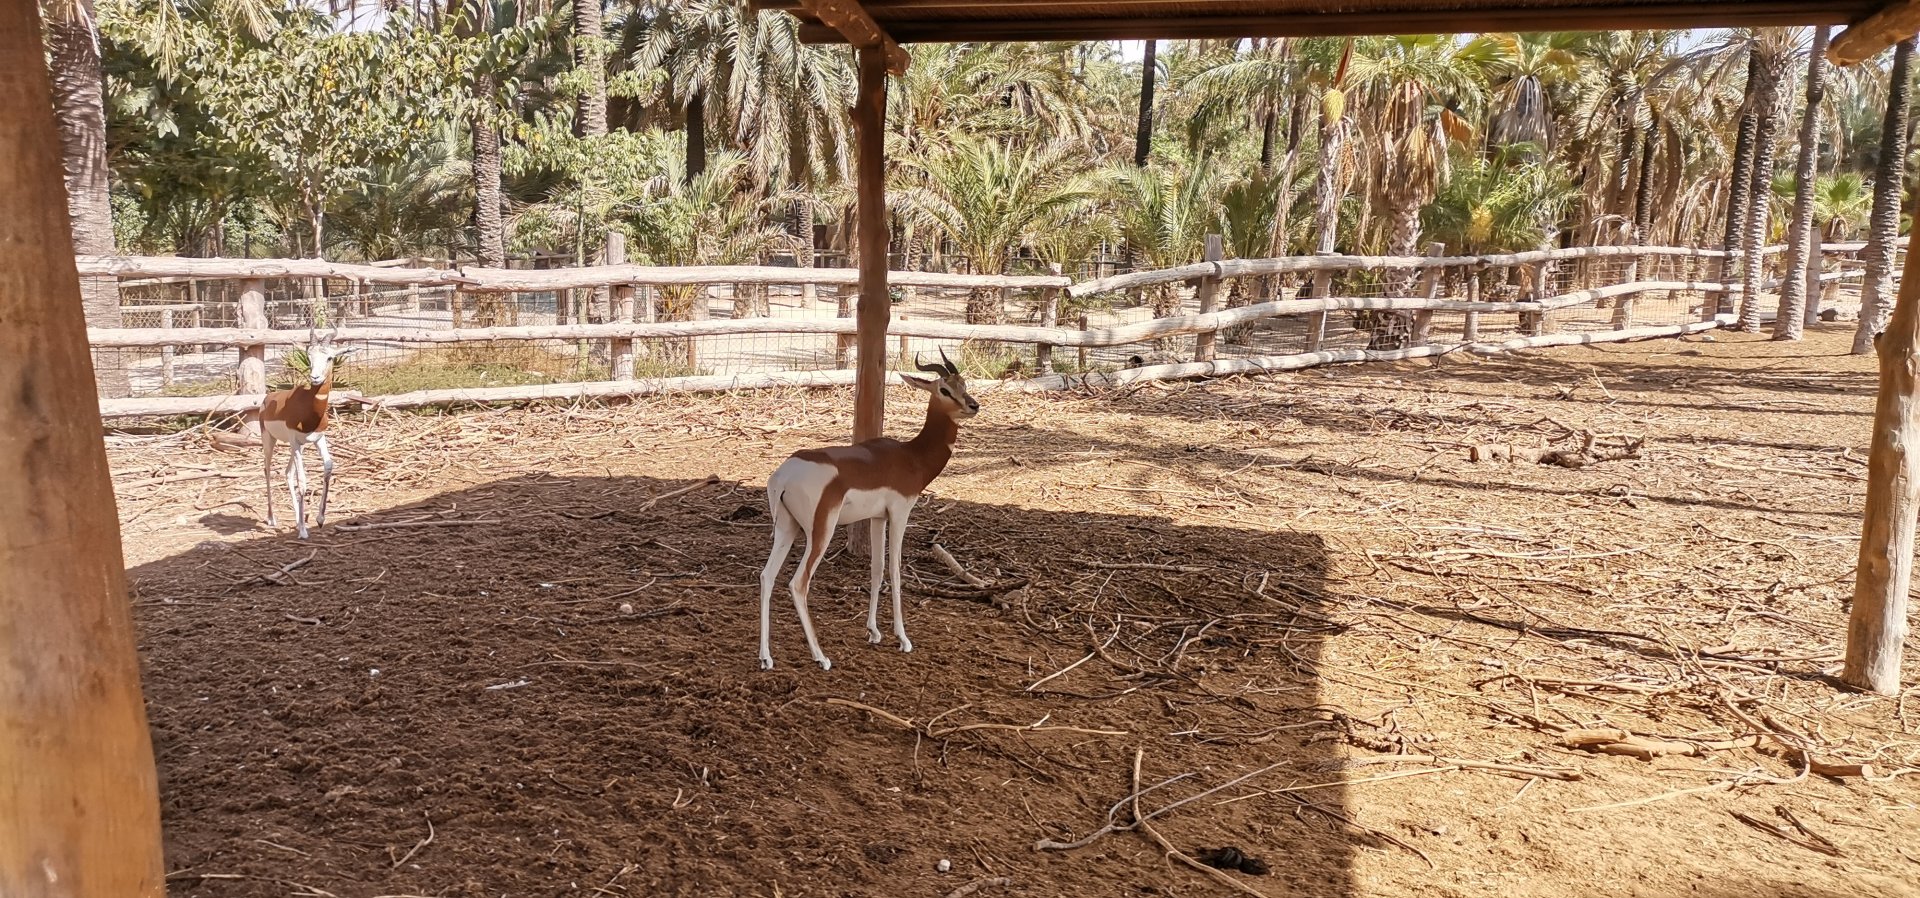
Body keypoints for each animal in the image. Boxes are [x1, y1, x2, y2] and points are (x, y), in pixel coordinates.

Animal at [262, 330, 355, 539]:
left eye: (329, 357)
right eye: (309, 356)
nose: (315, 378)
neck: (309, 409)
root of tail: (267, 399)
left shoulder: (318, 439)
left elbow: (328, 467)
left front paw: (319, 520)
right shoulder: (295, 440)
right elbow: (303, 481)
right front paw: (304, 531)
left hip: (298, 446)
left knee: (287, 472)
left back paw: (297, 520)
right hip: (270, 440)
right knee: (268, 470)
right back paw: (272, 518)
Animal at [759, 349, 979, 670]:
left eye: (963, 383)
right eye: (944, 389)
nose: (974, 405)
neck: (911, 457)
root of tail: (784, 476)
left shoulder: (877, 518)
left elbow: (876, 570)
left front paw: (874, 631)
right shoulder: (900, 513)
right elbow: (896, 571)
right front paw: (903, 639)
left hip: (786, 528)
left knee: (767, 576)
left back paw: (766, 657)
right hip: (820, 532)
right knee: (798, 583)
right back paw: (821, 657)